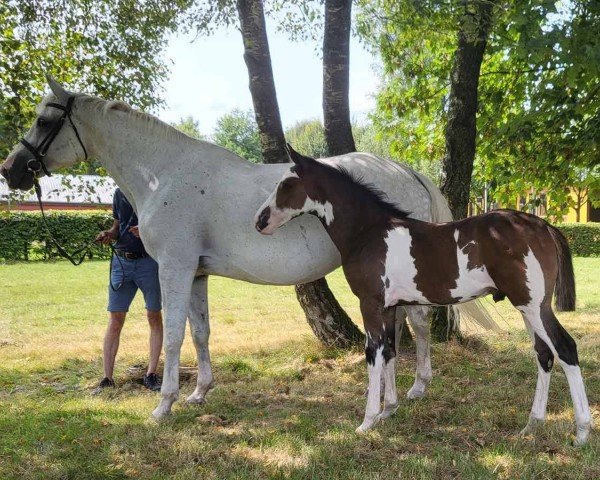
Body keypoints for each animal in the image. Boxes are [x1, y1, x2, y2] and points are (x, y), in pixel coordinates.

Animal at [253, 146, 592, 446]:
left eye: (287, 183)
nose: (259, 221)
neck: (368, 232)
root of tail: (541, 224)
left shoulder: (370, 304)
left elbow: (373, 354)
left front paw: (367, 421)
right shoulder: (390, 308)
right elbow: (389, 351)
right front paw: (388, 410)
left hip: (534, 307)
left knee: (565, 348)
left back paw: (582, 431)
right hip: (527, 308)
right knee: (544, 354)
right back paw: (532, 425)